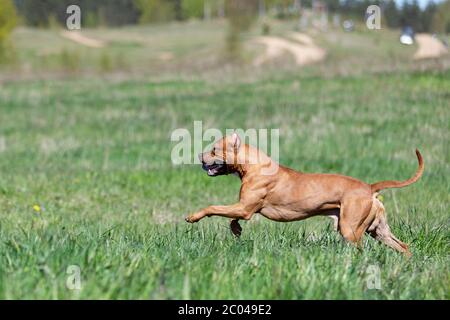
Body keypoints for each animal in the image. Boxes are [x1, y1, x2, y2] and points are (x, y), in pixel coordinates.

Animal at [185, 133, 424, 255]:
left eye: (214, 150)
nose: (198, 156)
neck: (253, 165)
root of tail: (369, 187)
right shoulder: (244, 207)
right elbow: (231, 217)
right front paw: (236, 229)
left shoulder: (245, 208)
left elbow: (213, 207)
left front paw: (193, 217)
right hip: (377, 229)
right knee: (403, 246)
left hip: (350, 229)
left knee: (360, 249)